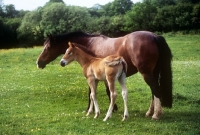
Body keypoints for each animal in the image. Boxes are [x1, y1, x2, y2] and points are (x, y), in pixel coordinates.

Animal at [36, 31, 173, 119]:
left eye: (47, 47)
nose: (38, 63)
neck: (89, 44)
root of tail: (154, 36)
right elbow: (97, 93)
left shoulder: (96, 77)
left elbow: (97, 93)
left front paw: (101, 110)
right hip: (152, 72)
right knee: (154, 91)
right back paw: (150, 112)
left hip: (146, 73)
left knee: (155, 89)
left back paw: (156, 114)